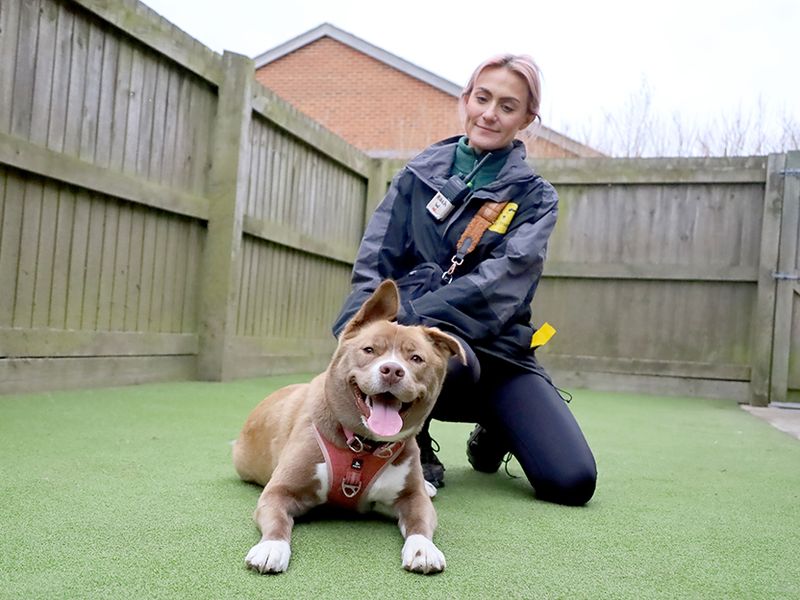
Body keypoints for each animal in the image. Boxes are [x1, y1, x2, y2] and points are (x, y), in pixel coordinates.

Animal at [233, 278, 462, 576]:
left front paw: (423, 549)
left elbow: (421, 521)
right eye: (369, 350)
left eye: (416, 359)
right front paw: (271, 547)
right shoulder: (279, 490)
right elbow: (277, 520)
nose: (392, 370)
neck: (361, 446)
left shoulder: (412, 497)